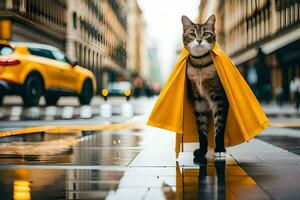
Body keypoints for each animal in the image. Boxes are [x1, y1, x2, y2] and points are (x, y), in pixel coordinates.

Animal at [182, 14, 229, 158]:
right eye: (192, 34)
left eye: (206, 34)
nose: (199, 40)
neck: (200, 65)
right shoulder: (198, 98)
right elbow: (201, 128)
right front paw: (202, 151)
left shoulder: (219, 98)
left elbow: (219, 126)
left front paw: (219, 148)